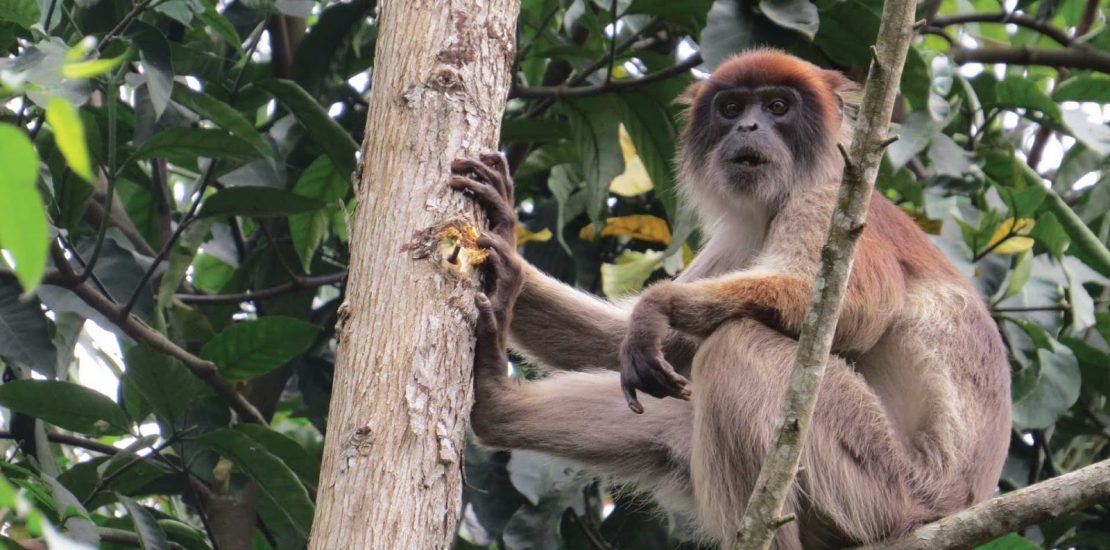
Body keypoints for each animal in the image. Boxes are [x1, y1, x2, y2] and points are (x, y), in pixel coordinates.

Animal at [452, 49, 1016, 548]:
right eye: (731, 109)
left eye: (777, 106)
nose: (747, 128)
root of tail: (958, 501)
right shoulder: (744, 232)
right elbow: (636, 346)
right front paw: (505, 250)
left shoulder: (831, 206)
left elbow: (857, 314)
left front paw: (658, 306)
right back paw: (496, 402)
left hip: (889, 486)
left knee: (735, 345)